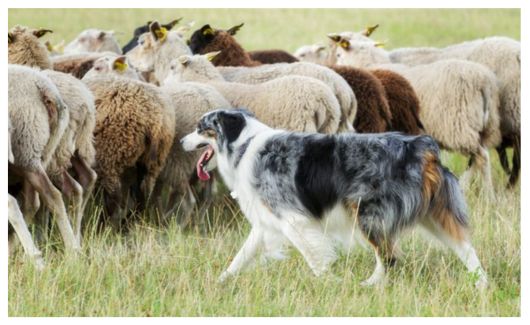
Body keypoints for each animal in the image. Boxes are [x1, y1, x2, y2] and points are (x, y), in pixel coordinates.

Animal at [179, 108, 484, 286]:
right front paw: (221, 281)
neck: (243, 145)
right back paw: (481, 283)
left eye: (200, 127)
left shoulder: (292, 219)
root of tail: (421, 147)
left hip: (369, 214)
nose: (181, 142)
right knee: (465, 247)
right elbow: (241, 256)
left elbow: (314, 256)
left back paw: (368, 286)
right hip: (433, 214)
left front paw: (328, 282)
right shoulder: (267, 220)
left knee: (389, 257)